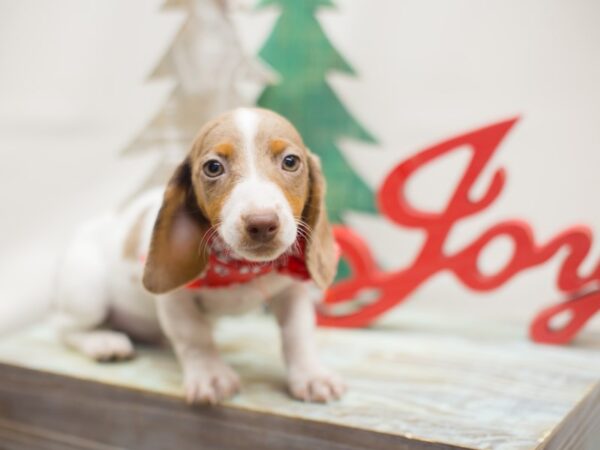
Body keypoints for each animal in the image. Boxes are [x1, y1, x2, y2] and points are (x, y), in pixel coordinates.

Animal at [56, 107, 346, 402]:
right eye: (213, 167)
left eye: (290, 161)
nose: (262, 223)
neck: (240, 267)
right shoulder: (175, 300)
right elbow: (194, 337)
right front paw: (211, 375)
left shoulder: (291, 291)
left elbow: (298, 335)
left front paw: (311, 375)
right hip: (87, 294)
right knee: (65, 329)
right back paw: (104, 342)